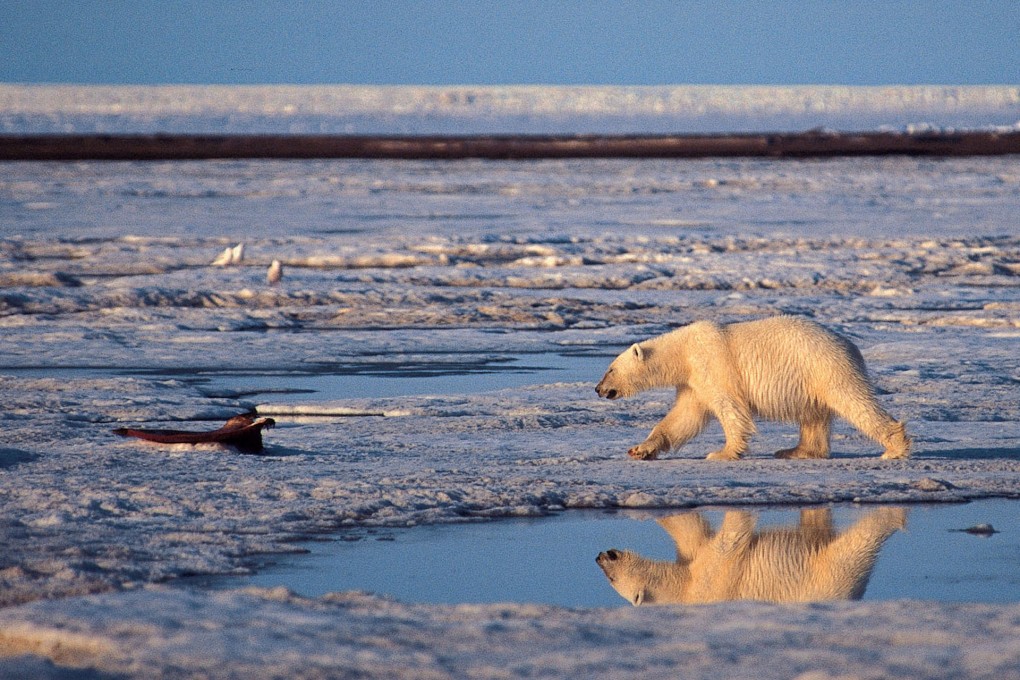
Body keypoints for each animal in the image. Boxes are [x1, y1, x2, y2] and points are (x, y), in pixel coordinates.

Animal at [595, 316, 910, 460]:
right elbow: (683, 417)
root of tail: (850, 345)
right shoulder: (693, 382)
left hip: (824, 366)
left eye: (610, 369)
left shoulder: (713, 365)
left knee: (854, 401)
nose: (598, 389)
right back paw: (795, 450)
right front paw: (640, 449)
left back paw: (894, 448)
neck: (683, 352)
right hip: (812, 378)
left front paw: (722, 453)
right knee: (813, 415)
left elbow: (729, 408)